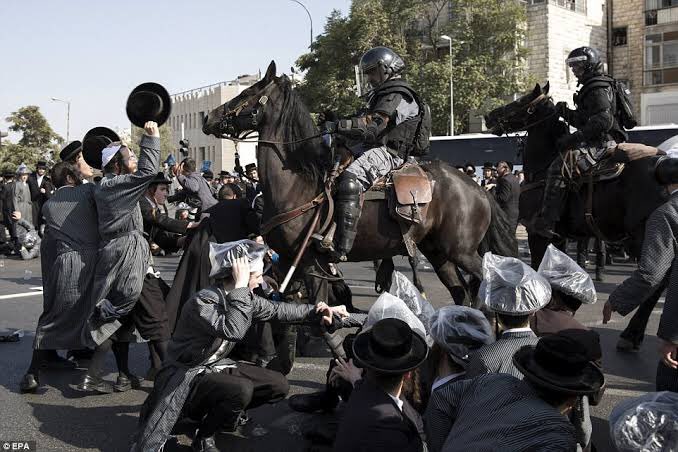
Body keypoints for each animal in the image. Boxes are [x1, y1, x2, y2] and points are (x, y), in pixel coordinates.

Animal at [205, 61, 516, 308]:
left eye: (247, 93)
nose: (208, 117)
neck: (297, 184)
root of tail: (477, 189)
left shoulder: (310, 264)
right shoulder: (292, 262)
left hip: (461, 251)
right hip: (439, 253)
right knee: (462, 293)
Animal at [488, 83, 668, 348]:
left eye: (522, 101)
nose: (489, 116)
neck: (542, 169)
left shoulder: (537, 233)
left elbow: (537, 268)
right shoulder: (559, 237)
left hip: (642, 235)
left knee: (655, 279)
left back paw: (630, 334)